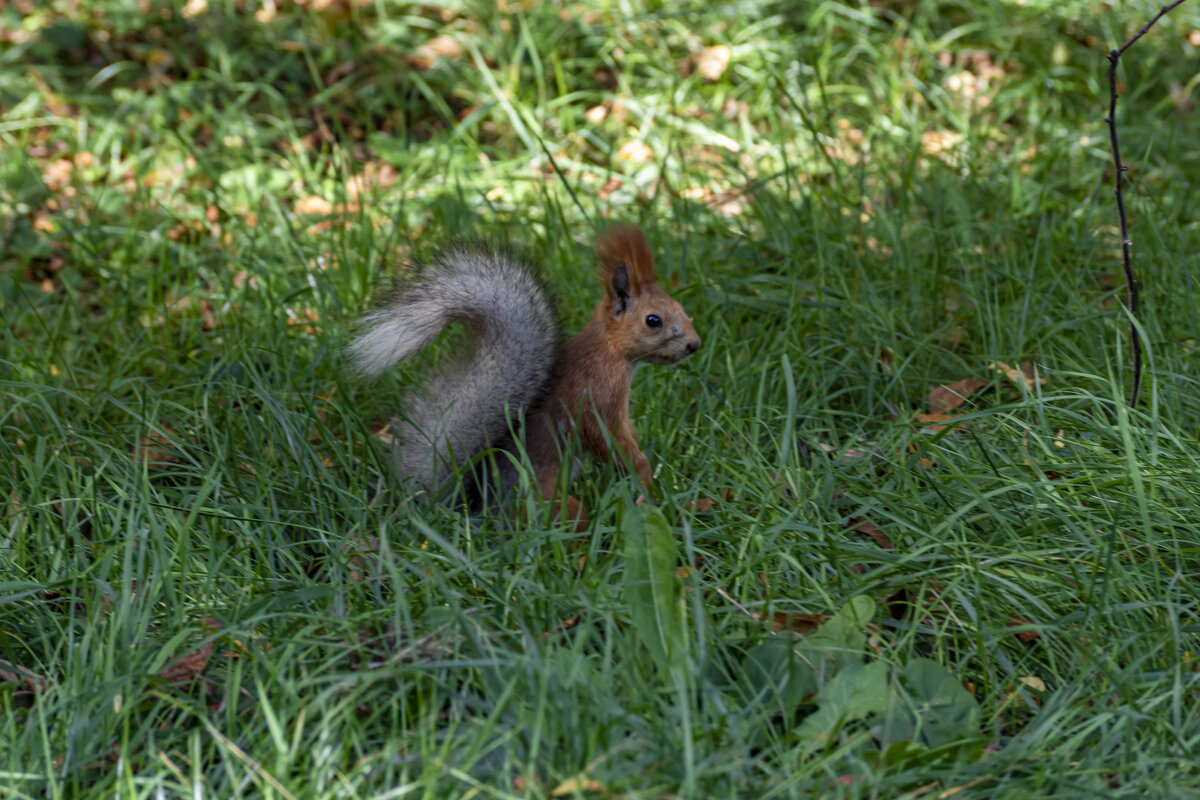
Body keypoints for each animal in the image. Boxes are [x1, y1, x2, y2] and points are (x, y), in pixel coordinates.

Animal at [348, 225, 700, 525]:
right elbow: (606, 438)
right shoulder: (597, 396)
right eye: (653, 320)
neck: (609, 350)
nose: (694, 345)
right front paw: (643, 474)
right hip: (557, 508)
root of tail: (479, 513)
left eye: (684, 310)